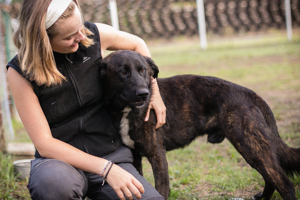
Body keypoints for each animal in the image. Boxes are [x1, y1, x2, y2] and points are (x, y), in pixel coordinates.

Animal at [101, 50, 300, 200]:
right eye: (123, 72)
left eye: (143, 71)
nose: (144, 93)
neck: (126, 111)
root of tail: (250, 94)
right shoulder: (135, 157)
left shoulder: (157, 154)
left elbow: (162, 189)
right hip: (253, 148)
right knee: (271, 178)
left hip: (250, 145)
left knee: (284, 183)